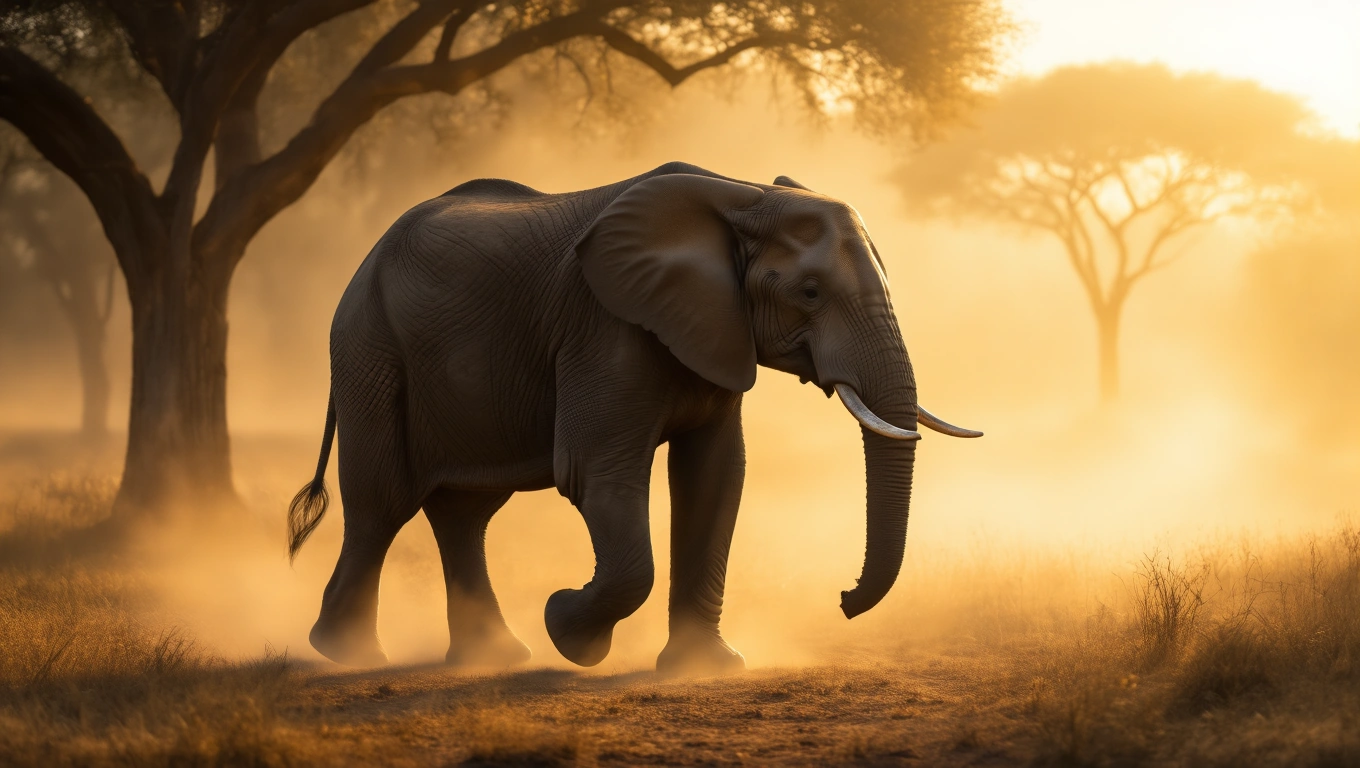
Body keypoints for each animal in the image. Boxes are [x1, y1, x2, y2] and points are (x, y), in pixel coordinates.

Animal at [287, 162, 981, 675]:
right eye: (809, 292)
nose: (842, 599)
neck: (741, 195)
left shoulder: (713, 330)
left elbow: (716, 476)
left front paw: (705, 669)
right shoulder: (604, 325)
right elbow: (598, 473)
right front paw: (568, 629)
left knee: (465, 510)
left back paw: (493, 657)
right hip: (369, 350)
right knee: (383, 501)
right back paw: (351, 656)